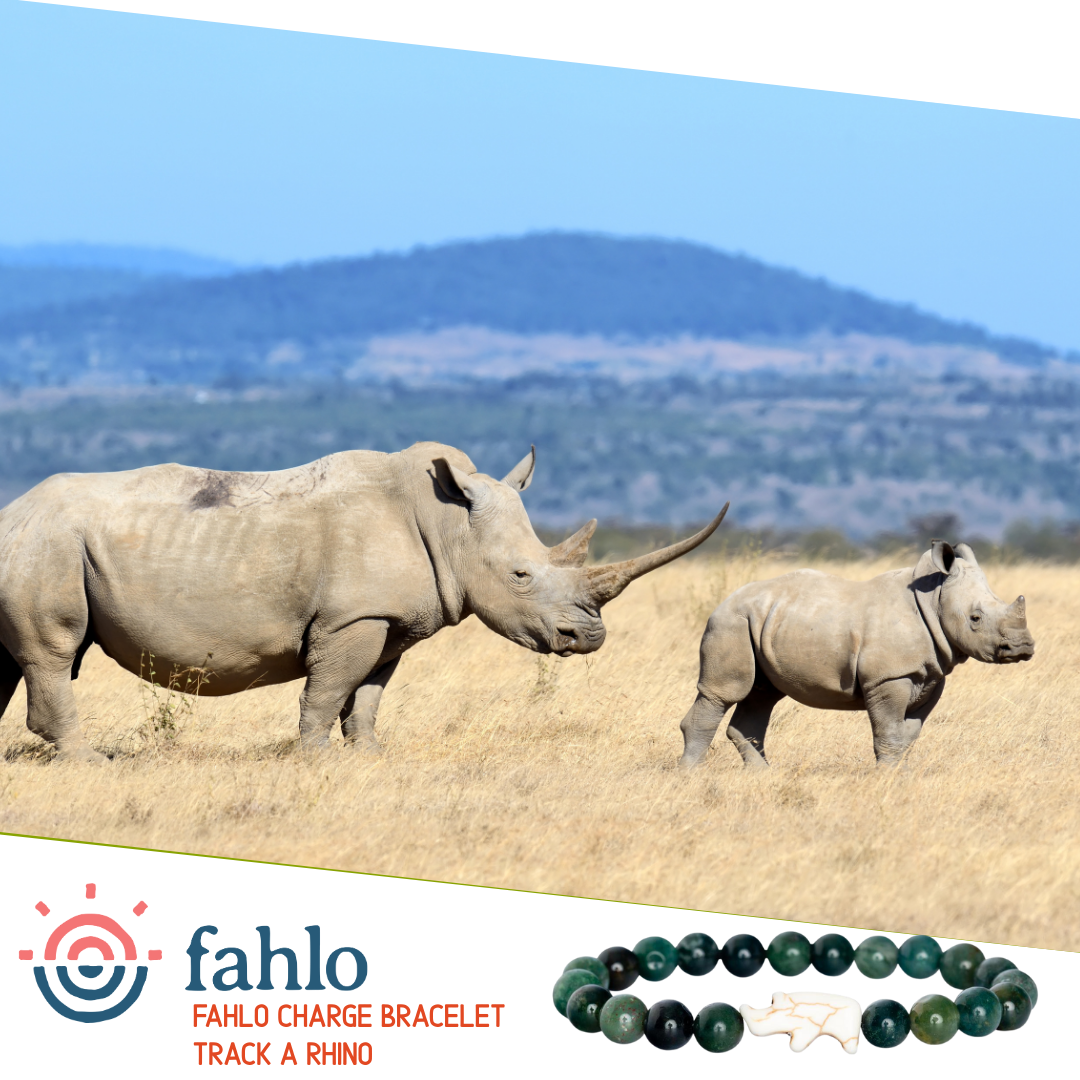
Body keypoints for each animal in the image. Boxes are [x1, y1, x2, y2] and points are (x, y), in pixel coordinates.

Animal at [0, 441, 728, 762]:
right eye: (521, 574)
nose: (589, 639)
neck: (449, 523)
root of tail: (13, 510)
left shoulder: (392, 619)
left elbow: (370, 691)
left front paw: (370, 757)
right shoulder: (351, 616)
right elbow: (328, 688)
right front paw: (313, 760)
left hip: (34, 545)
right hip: (47, 543)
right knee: (54, 651)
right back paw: (87, 762)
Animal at [678, 540, 1033, 769]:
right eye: (975, 618)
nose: (1024, 648)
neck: (934, 598)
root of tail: (724, 601)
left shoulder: (931, 675)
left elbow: (909, 733)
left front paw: (900, 775)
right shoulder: (888, 678)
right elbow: (889, 733)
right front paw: (887, 778)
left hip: (761, 623)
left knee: (761, 696)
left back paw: (762, 776)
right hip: (731, 622)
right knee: (724, 692)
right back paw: (690, 775)